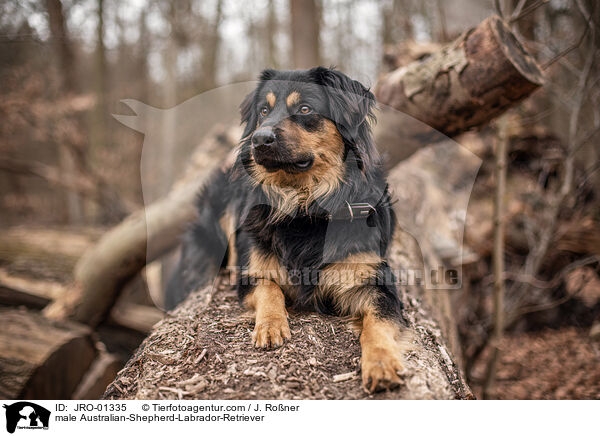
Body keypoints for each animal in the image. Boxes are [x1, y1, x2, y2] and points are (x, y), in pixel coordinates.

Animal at [166, 67, 410, 392]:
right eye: (263, 111)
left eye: (304, 109)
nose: (259, 139)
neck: (304, 206)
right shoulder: (252, 271)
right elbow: (269, 287)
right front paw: (271, 325)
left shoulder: (374, 280)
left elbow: (379, 322)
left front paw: (381, 363)